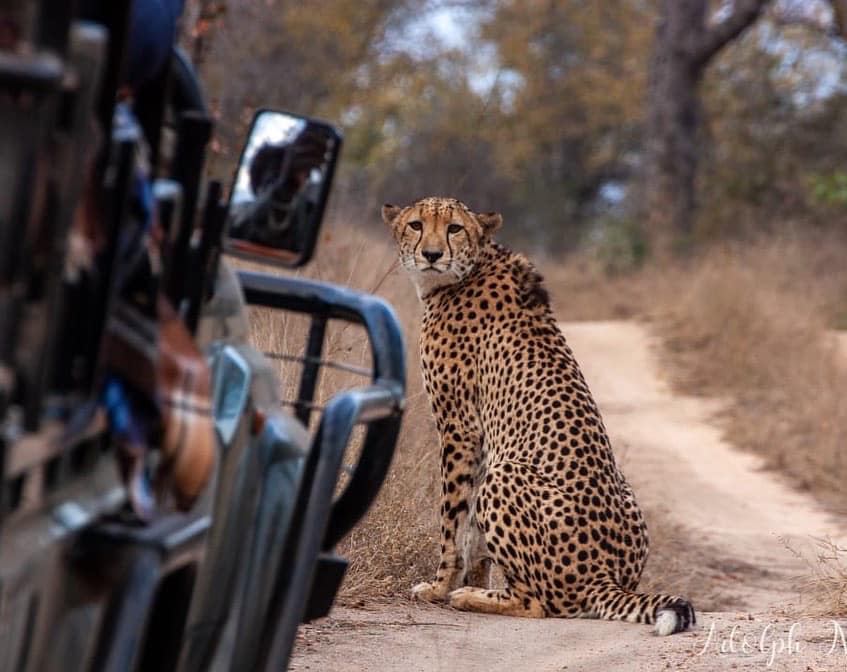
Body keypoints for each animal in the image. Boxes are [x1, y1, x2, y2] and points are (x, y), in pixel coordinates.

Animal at [382, 196, 695, 635]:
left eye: (454, 229)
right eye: (415, 224)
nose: (431, 254)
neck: (470, 267)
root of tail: (606, 576)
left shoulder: (459, 427)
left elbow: (452, 518)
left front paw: (441, 586)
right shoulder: (482, 439)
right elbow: (473, 532)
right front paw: (472, 578)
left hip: (507, 473)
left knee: (538, 605)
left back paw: (472, 597)